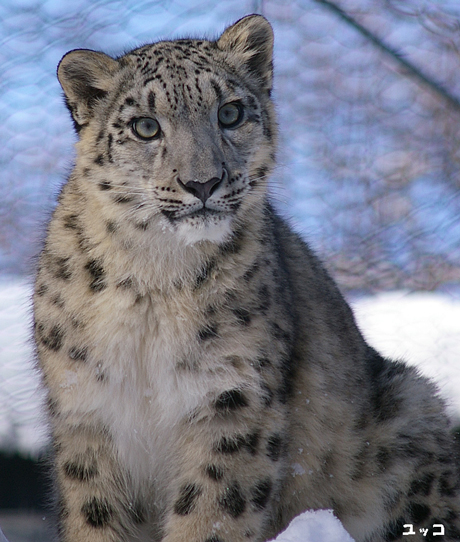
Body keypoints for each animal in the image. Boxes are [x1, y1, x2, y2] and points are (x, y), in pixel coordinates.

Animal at [34, 12, 458, 542]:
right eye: (145, 126)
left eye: (230, 113)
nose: (203, 182)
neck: (153, 278)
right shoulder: (86, 408)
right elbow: (97, 516)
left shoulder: (234, 397)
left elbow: (212, 513)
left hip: (409, 409)